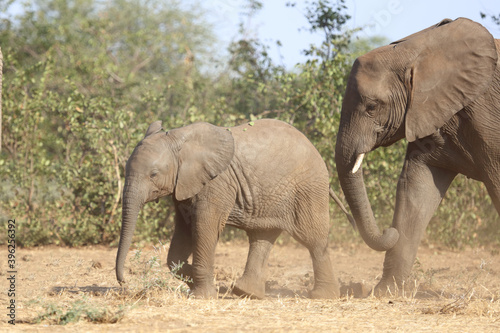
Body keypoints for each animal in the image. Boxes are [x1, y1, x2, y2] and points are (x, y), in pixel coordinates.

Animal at [116, 118, 352, 298]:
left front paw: (203, 294)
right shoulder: (184, 186)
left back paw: (323, 296)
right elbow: (183, 233)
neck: (179, 138)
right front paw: (196, 281)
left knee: (313, 239)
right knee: (262, 237)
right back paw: (245, 292)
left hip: (308, 189)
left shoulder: (216, 184)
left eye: (153, 174)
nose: (124, 282)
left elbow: (205, 227)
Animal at [336, 17, 500, 294]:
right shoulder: (426, 111)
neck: (416, 51)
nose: (387, 230)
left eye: (372, 107)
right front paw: (385, 293)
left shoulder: (486, 114)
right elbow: (415, 187)